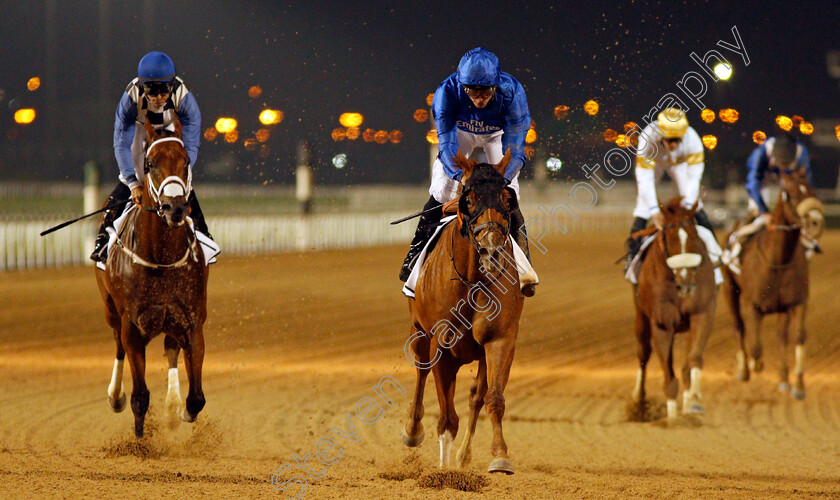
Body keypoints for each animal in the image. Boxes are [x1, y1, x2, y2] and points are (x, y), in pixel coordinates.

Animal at [94, 119, 207, 436]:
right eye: (151, 163)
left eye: (186, 161)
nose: (175, 207)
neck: (161, 259)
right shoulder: (132, 326)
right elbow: (140, 396)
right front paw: (139, 441)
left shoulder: (191, 321)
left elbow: (196, 398)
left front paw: (179, 411)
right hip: (111, 311)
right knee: (118, 345)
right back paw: (115, 396)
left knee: (171, 348)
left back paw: (171, 405)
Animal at [404, 150, 520, 474]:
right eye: (469, 199)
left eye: (506, 199)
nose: (492, 250)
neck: (471, 280)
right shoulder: (440, 346)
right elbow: (446, 417)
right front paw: (444, 473)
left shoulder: (500, 340)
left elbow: (492, 398)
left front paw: (499, 456)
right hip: (419, 332)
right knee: (421, 371)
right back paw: (413, 429)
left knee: (476, 396)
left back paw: (464, 455)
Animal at [632, 197, 716, 420]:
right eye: (669, 240)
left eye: (695, 238)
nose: (686, 284)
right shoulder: (661, 323)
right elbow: (668, 373)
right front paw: (671, 417)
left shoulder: (702, 313)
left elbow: (694, 359)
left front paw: (693, 401)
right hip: (641, 318)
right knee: (643, 354)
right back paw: (638, 400)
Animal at [724, 172, 816, 398]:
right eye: (792, 194)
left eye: (812, 190)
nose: (813, 217)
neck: (778, 260)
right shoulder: (752, 304)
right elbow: (756, 346)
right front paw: (755, 365)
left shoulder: (795, 302)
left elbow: (797, 336)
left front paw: (798, 385)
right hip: (729, 290)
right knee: (739, 326)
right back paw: (744, 370)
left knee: (781, 336)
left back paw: (783, 379)